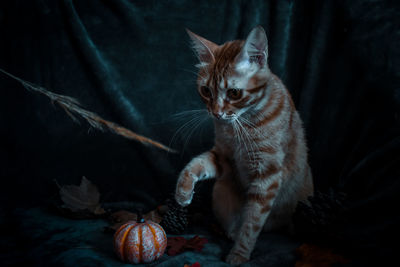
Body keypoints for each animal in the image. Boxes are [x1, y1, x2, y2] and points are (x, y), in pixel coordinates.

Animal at [175, 25, 312, 266]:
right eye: (206, 91)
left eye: (234, 93)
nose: (216, 113)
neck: (241, 125)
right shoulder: (223, 157)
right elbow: (195, 164)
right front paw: (183, 191)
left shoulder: (267, 178)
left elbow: (252, 222)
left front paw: (239, 254)